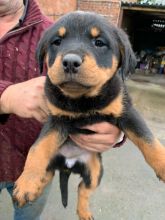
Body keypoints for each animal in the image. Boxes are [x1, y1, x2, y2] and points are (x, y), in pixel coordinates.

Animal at [13, 11, 165, 220]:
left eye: (99, 42)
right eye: (57, 42)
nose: (70, 62)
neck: (82, 100)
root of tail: (67, 165)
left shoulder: (126, 111)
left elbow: (148, 140)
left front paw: (163, 165)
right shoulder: (56, 120)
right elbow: (38, 147)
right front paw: (27, 182)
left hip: (95, 169)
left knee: (83, 188)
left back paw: (84, 212)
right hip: (54, 162)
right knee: (50, 176)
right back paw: (35, 186)